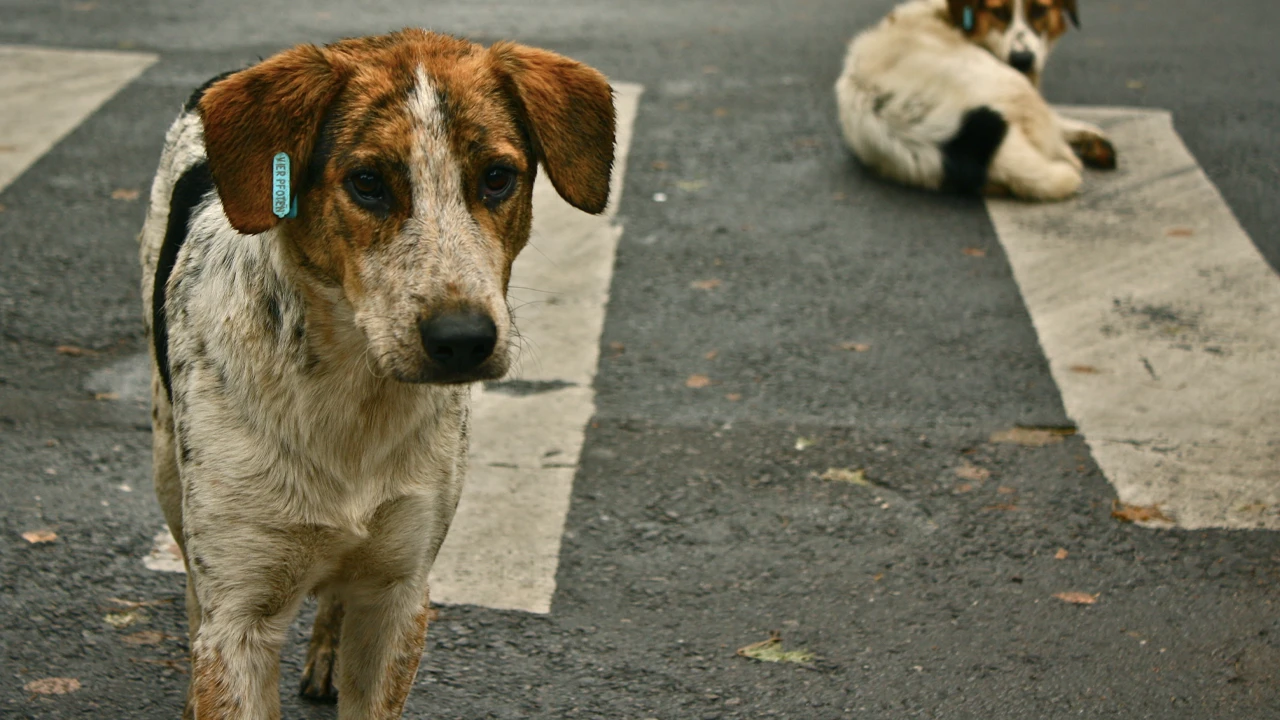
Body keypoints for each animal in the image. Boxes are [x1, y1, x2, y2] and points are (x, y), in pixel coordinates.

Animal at [137, 30, 616, 712]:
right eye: (367, 183)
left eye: (497, 178)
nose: (464, 340)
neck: (353, 395)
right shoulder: (240, 614)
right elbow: (216, 633)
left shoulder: (400, 595)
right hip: (166, 468)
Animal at [834, 0, 1116, 198]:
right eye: (998, 13)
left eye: (1039, 11)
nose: (1022, 60)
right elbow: (1061, 122)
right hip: (1014, 87)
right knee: (1062, 153)